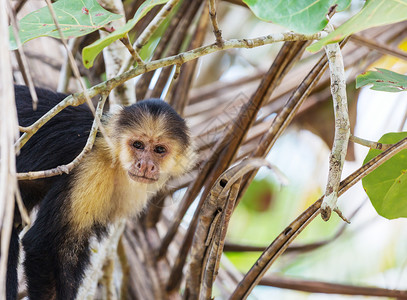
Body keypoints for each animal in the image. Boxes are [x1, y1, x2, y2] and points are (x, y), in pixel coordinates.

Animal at [7, 85, 195, 300]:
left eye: (159, 149)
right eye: (138, 145)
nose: (146, 165)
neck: (115, 160)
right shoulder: (91, 166)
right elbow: (42, 245)